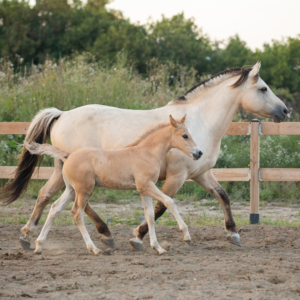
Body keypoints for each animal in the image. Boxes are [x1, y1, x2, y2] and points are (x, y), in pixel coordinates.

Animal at [24, 115, 202, 255]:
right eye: (185, 136)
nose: (199, 153)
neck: (146, 152)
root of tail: (69, 155)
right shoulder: (146, 186)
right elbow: (169, 201)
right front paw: (186, 237)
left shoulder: (143, 190)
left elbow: (150, 215)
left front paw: (157, 247)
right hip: (84, 190)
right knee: (76, 213)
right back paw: (94, 249)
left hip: (71, 190)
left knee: (55, 208)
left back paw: (39, 245)